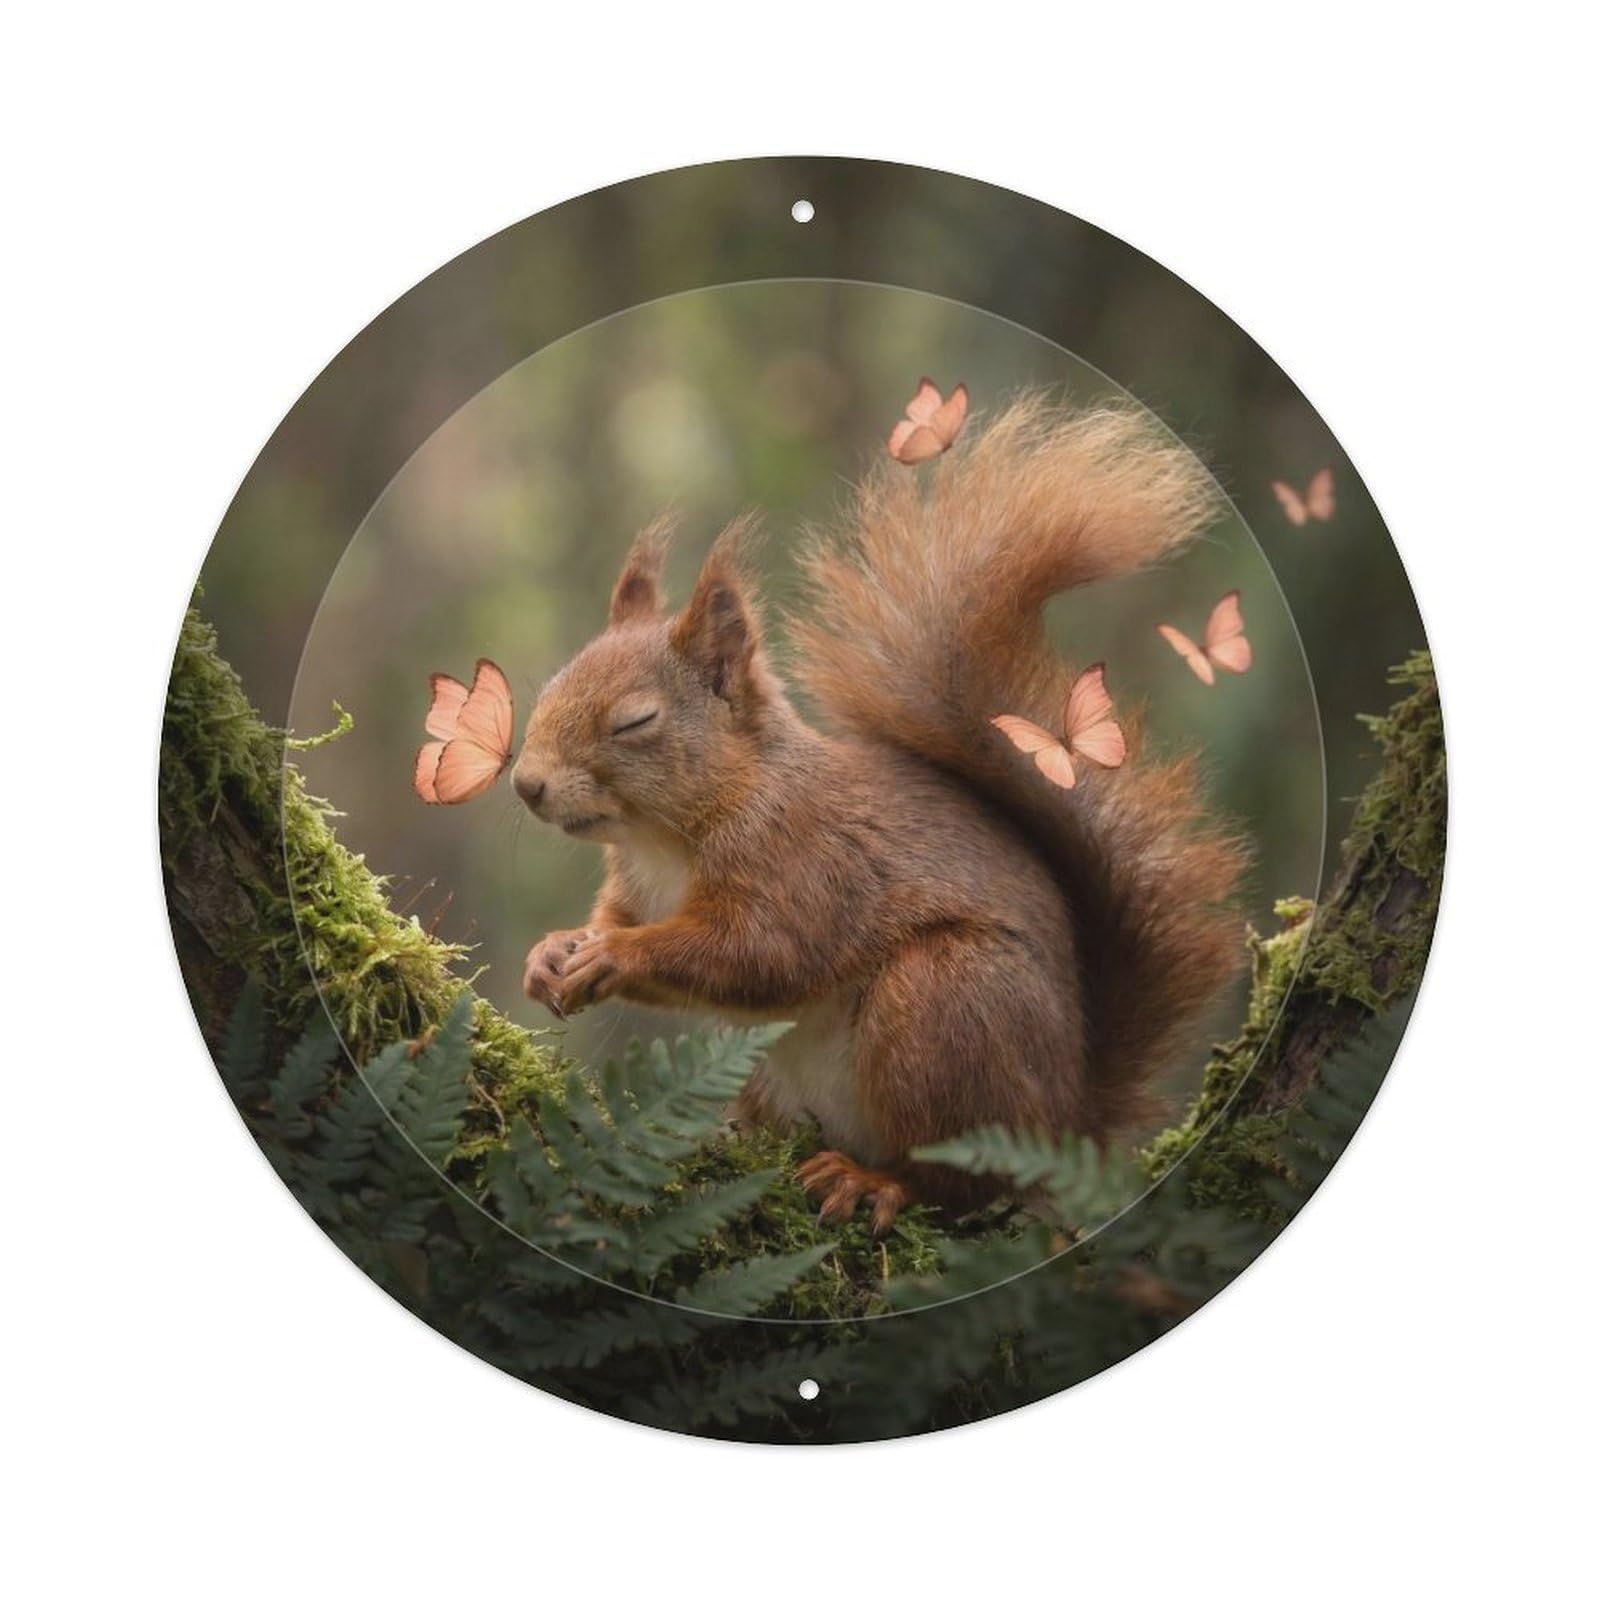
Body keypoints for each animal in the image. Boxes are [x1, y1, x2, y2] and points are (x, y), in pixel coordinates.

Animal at [513, 395, 1246, 1234]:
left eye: (636, 721)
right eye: (551, 685)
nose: (525, 784)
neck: (665, 839)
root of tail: (1065, 1122)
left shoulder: (806, 865)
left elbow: (759, 954)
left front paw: (613, 957)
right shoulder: (634, 887)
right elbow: (618, 919)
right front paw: (552, 953)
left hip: (943, 1006)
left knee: (956, 1181)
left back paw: (874, 1182)